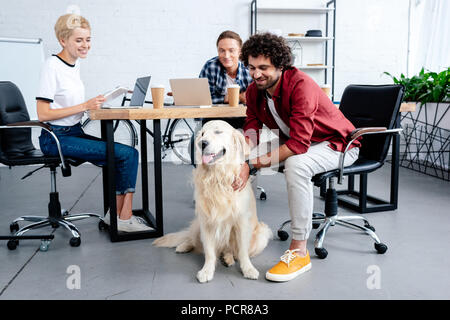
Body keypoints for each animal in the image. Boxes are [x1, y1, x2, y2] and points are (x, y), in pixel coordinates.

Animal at [155, 120, 272, 282]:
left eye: (218, 132)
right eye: (203, 134)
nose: (202, 143)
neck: (217, 177)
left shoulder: (242, 222)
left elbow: (242, 251)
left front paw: (248, 269)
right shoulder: (207, 222)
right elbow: (209, 252)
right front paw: (206, 271)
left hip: (262, 233)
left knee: (231, 250)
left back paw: (228, 258)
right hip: (198, 225)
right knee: (192, 238)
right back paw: (184, 246)